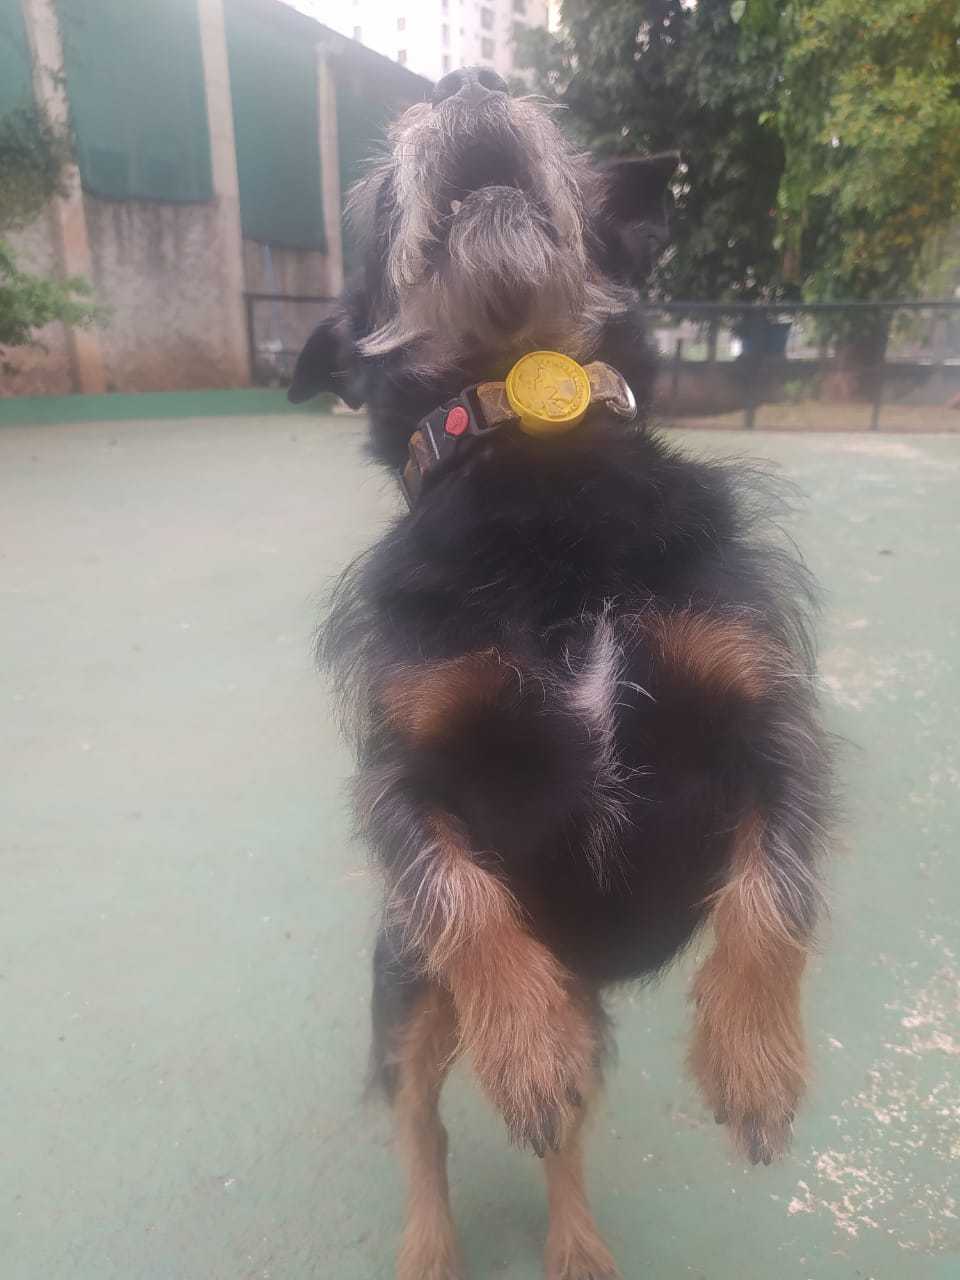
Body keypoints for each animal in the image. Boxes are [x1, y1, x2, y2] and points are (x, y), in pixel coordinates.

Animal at [290, 67, 832, 1280]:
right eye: (375, 203)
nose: (466, 81)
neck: (540, 463)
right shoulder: (405, 772)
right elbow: (460, 891)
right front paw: (523, 1045)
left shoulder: (771, 717)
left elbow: (778, 888)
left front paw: (755, 1061)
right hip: (409, 995)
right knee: (426, 1122)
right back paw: (434, 1236)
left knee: (566, 1140)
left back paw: (578, 1241)